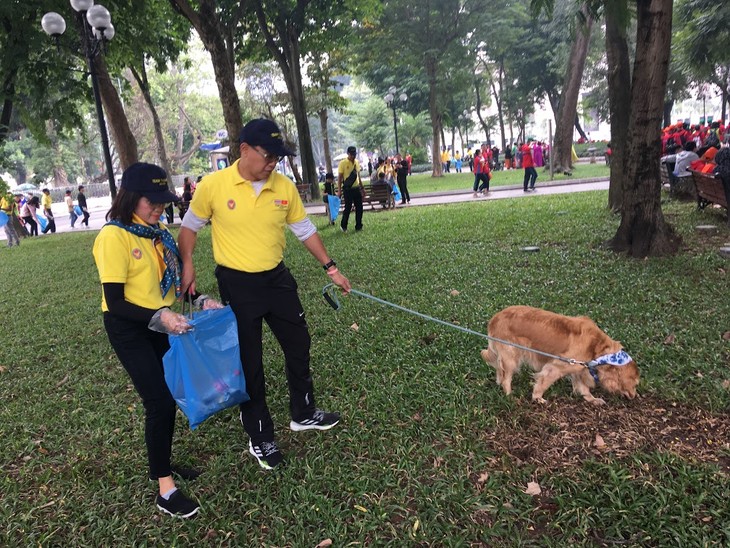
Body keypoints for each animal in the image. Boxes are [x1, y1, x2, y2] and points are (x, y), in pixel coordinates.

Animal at [480, 306, 640, 404]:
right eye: (634, 384)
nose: (634, 396)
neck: (598, 350)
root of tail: (494, 319)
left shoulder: (577, 368)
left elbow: (583, 388)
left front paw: (592, 399)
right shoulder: (556, 367)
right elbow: (542, 384)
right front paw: (537, 398)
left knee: (499, 370)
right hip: (511, 356)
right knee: (507, 378)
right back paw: (509, 395)